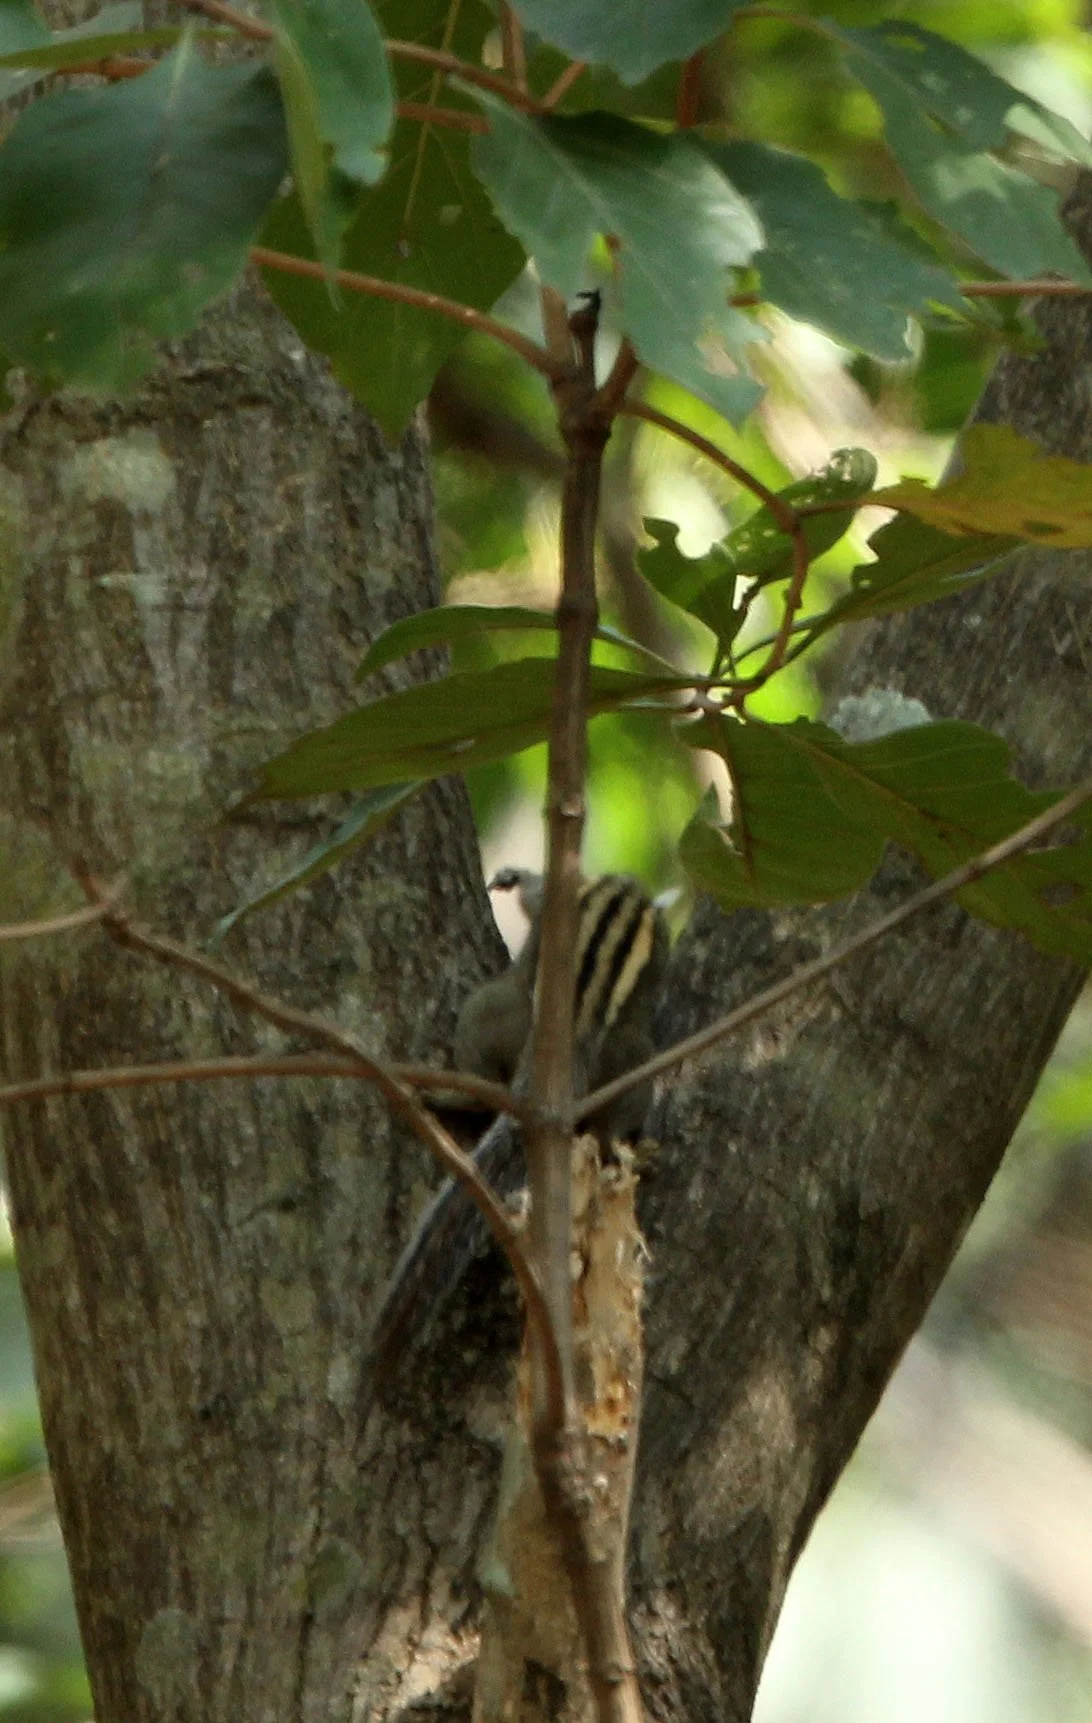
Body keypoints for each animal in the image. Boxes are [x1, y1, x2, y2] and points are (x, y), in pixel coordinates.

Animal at [365, 869, 667, 1388]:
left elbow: (534, 897)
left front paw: (514, 879)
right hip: (635, 1062)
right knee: (615, 1119)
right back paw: (631, 1149)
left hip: (490, 1008)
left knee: (486, 1077)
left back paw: (449, 1094)